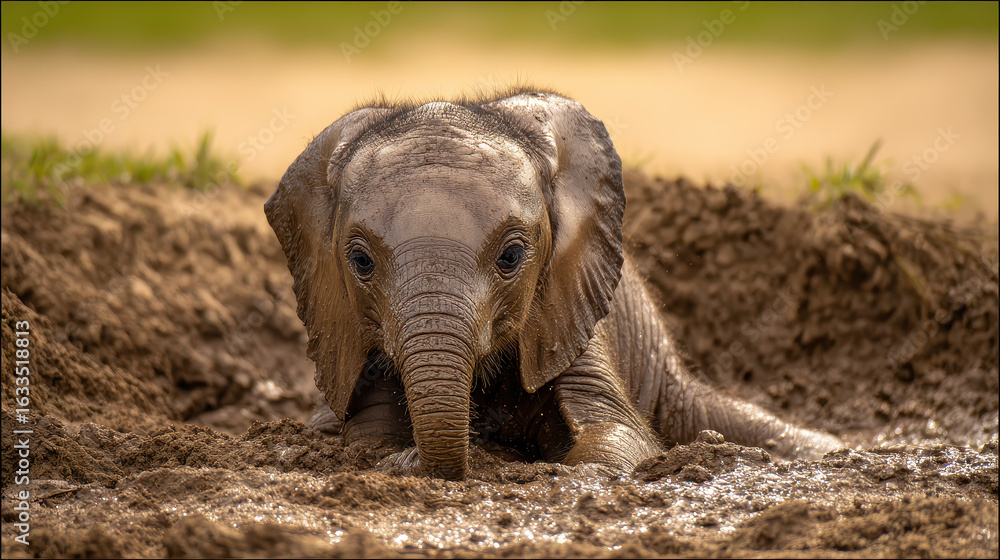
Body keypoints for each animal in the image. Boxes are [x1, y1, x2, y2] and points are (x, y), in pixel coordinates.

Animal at [264, 88, 843, 480]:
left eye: (512, 256)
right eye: (360, 261)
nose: (415, 461)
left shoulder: (572, 305)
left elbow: (618, 430)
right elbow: (364, 437)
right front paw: (391, 455)